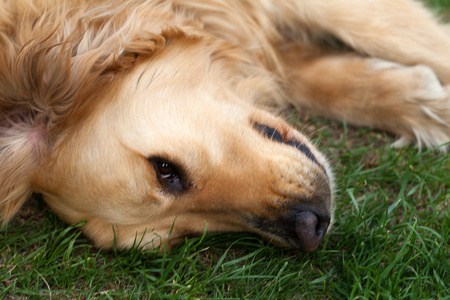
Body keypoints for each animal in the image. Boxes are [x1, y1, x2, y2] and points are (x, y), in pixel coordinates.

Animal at [0, 0, 448, 253]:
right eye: (180, 238)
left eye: (165, 170)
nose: (310, 228)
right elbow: (316, 79)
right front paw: (419, 100)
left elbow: (411, 39)